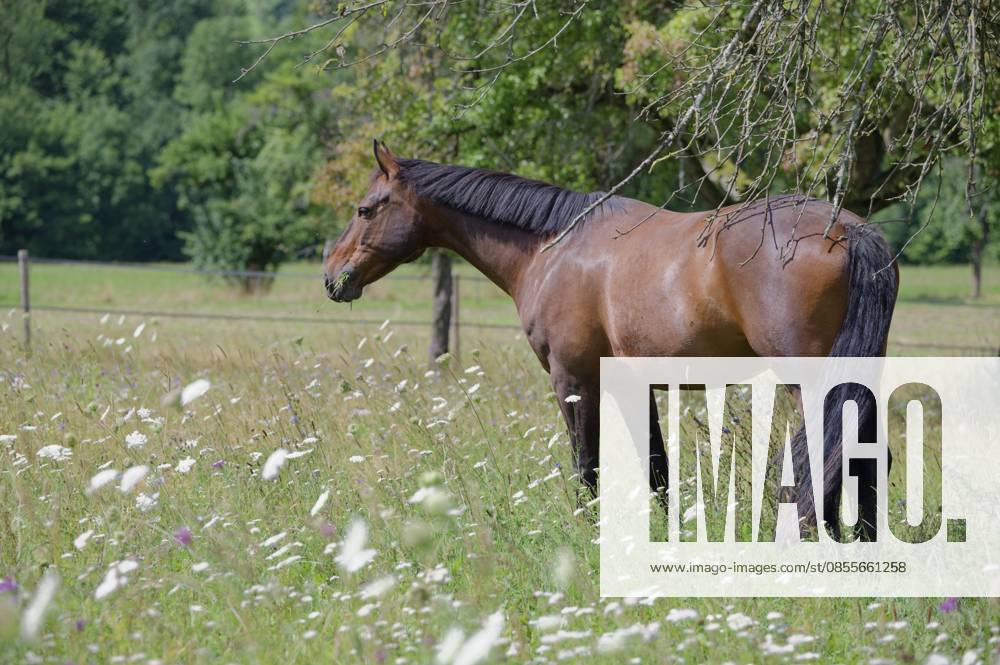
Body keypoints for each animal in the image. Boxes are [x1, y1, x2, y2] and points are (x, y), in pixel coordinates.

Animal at [324, 140, 898, 540]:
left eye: (366, 209)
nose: (332, 277)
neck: (552, 247)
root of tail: (847, 230)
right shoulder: (631, 385)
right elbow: (657, 468)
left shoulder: (574, 380)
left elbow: (587, 465)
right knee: (866, 456)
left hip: (810, 380)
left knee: (831, 453)